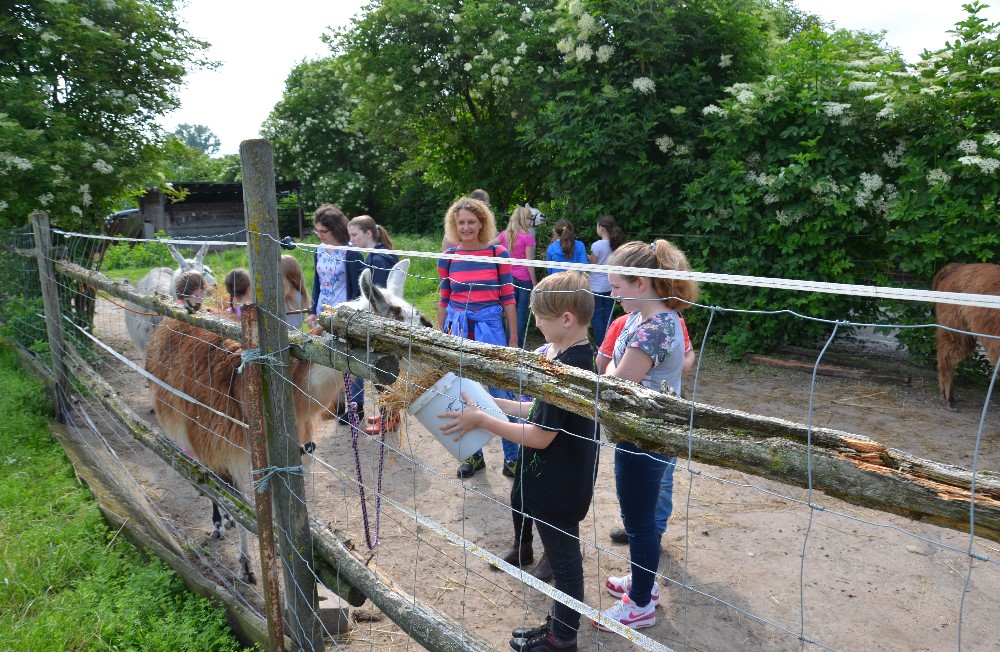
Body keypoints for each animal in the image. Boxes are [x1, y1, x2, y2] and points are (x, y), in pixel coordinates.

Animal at [145, 260, 430, 582]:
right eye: (400, 322)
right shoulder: (232, 447)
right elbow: (245, 510)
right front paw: (247, 566)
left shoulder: (292, 452)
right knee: (207, 473)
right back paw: (219, 523)